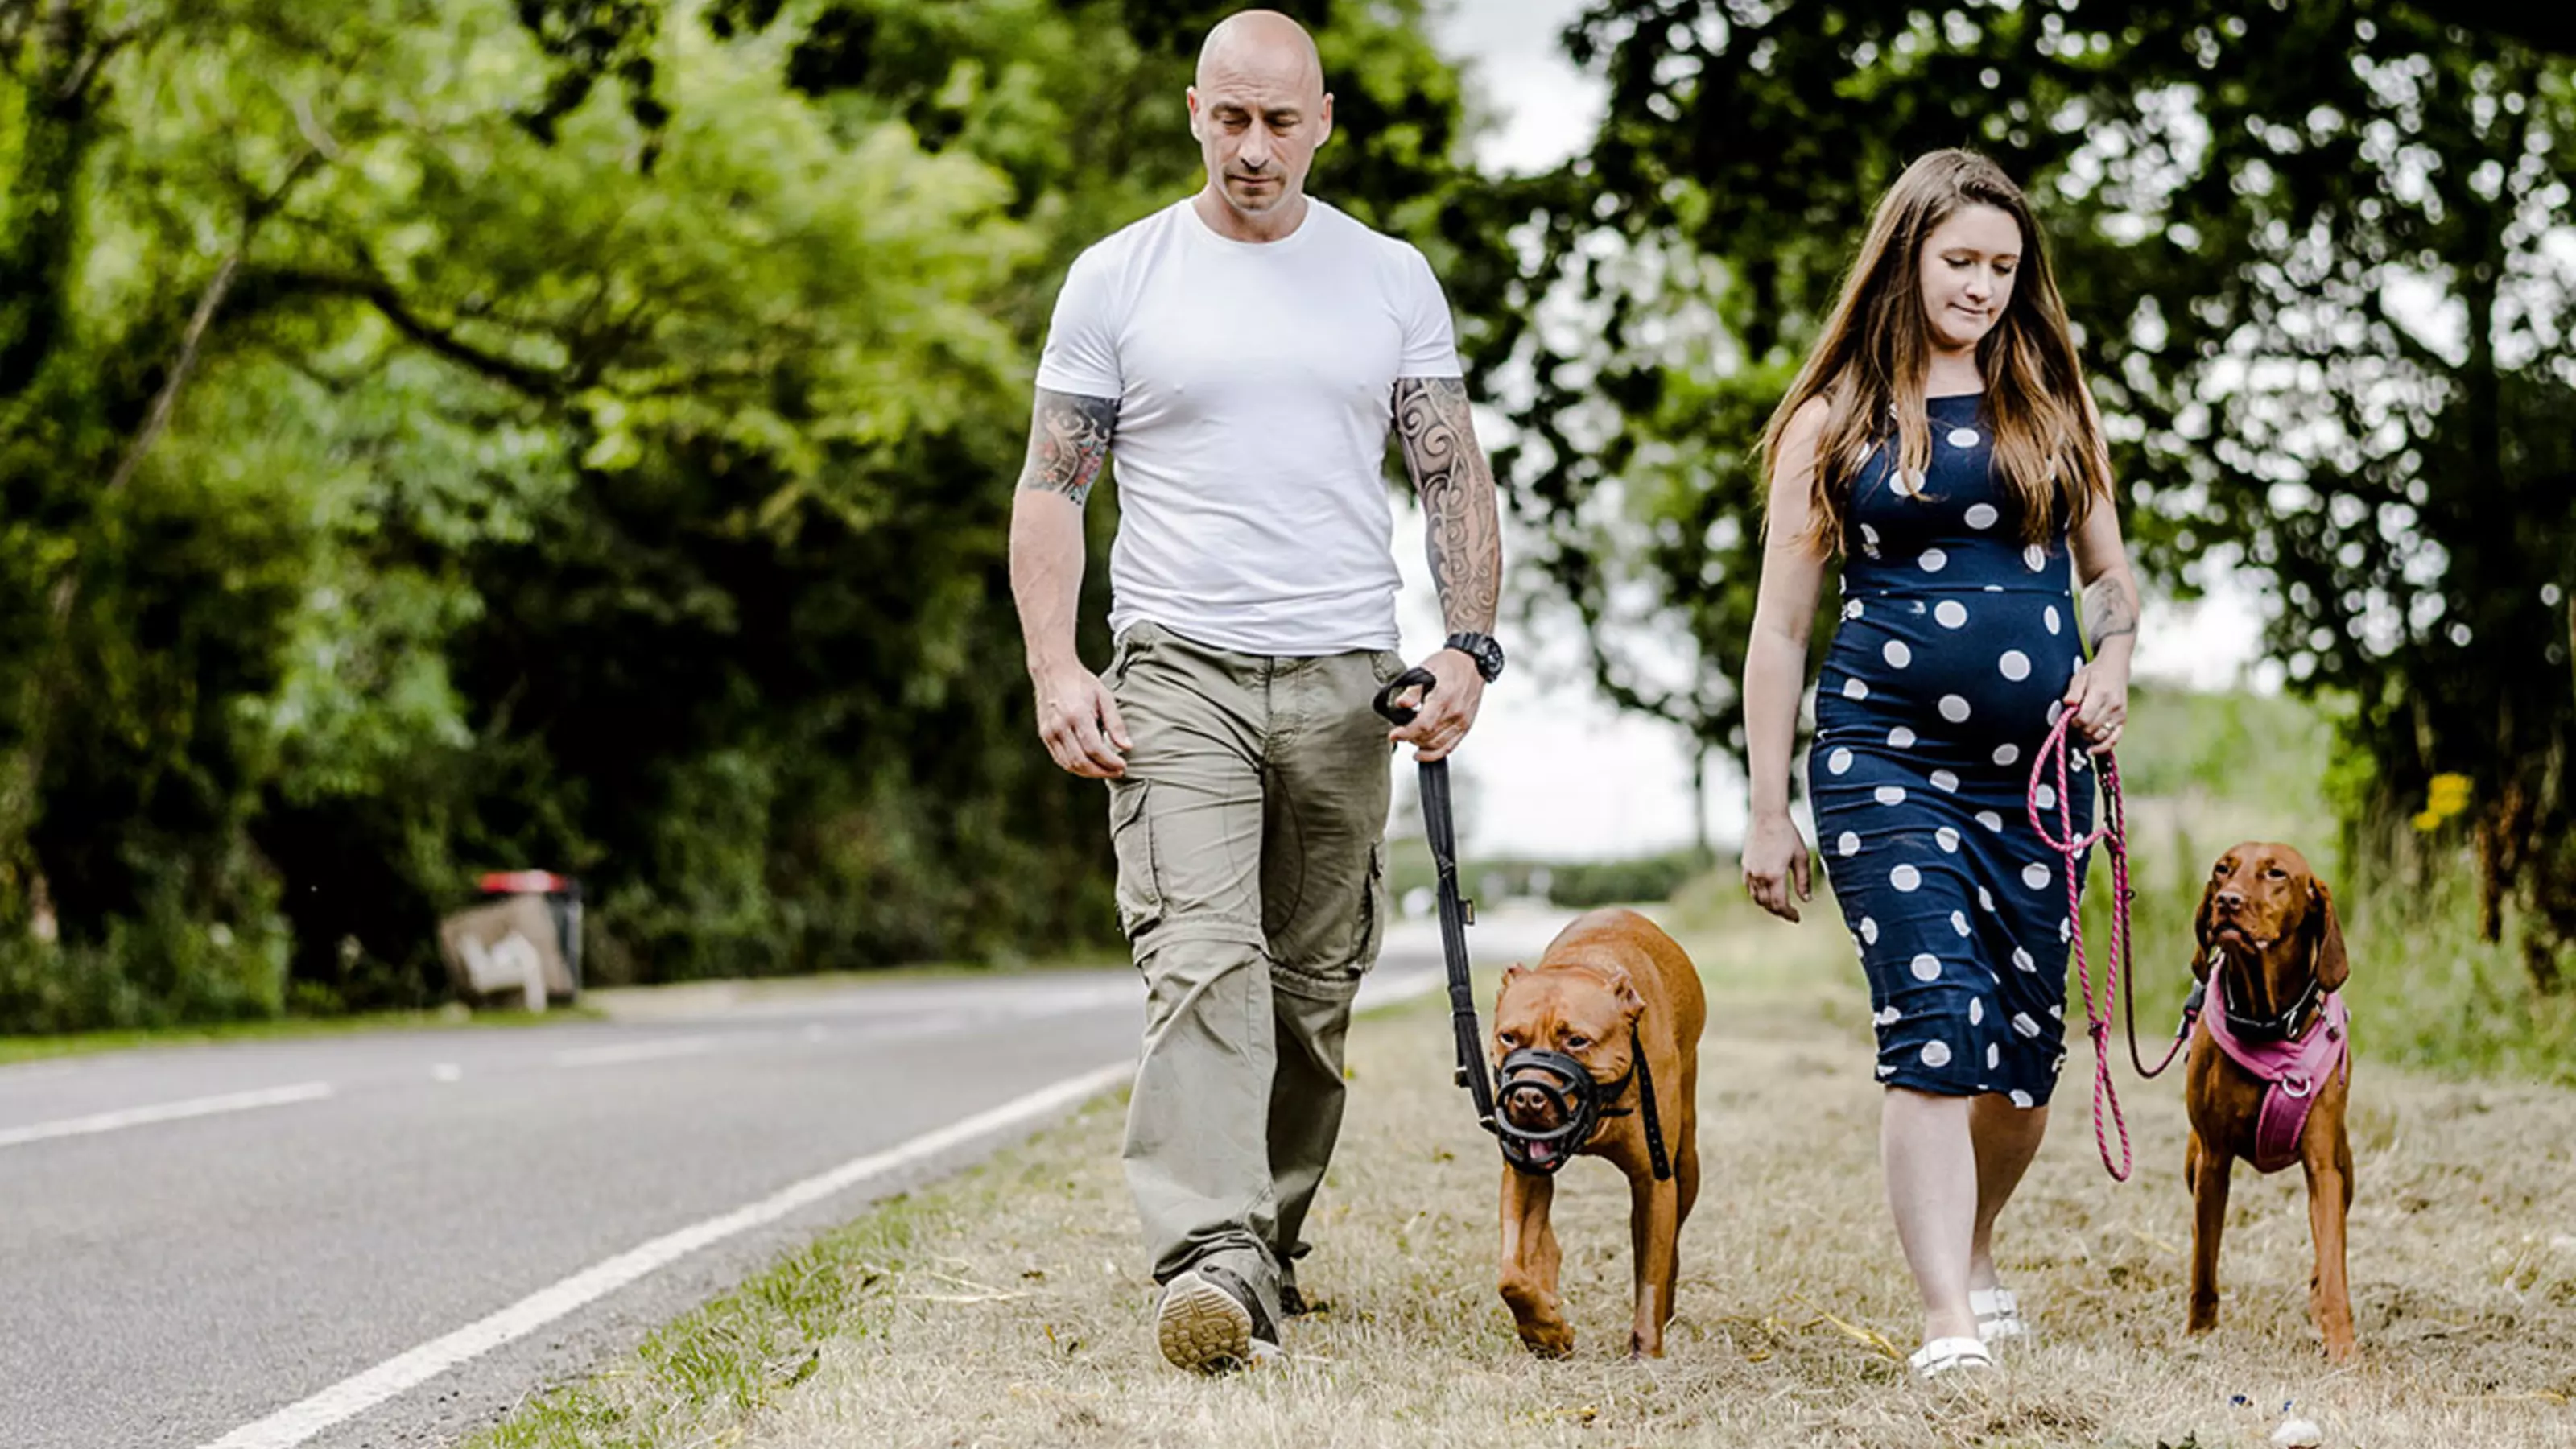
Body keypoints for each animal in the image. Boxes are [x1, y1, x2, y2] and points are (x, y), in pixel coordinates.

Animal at [1504, 902, 1700, 1351]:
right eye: (1509, 1038)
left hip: (1686, 1164)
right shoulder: (1523, 1173)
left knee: (1667, 1246)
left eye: (1577, 1041)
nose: (1527, 1097)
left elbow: (1650, 1277)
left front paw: (1646, 1351)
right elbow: (1509, 1275)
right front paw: (1544, 1328)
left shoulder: (1654, 1181)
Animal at [2174, 840, 2359, 1361]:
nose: (2227, 902)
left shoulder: (2323, 1165)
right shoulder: (2213, 1159)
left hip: (2346, 1167)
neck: (2268, 1020)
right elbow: (2204, 1261)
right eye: (2222, 869)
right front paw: (2198, 1335)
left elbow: (2333, 1265)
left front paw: (2344, 1349)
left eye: (2276, 874)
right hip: (2192, 1163)